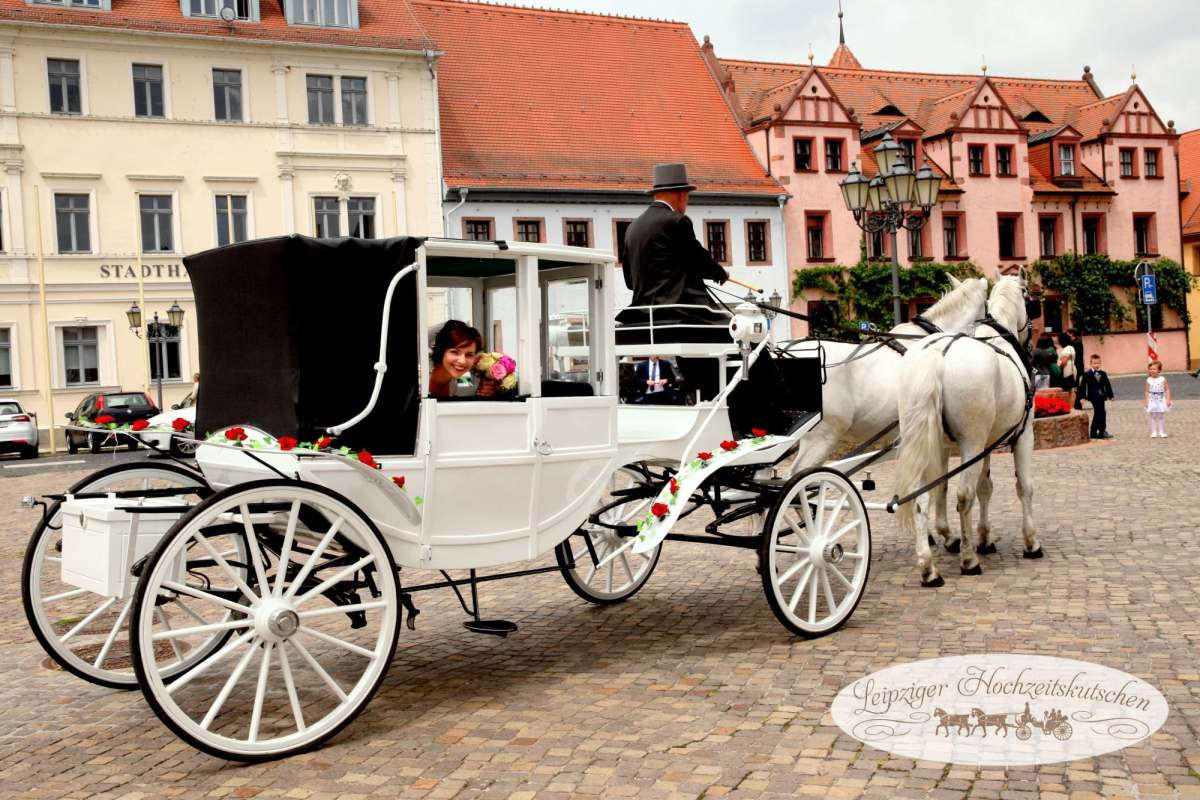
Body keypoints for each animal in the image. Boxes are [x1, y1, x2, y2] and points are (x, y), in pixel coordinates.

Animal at [892, 272, 1041, 585]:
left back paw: (929, 567)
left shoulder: (985, 444)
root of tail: (938, 353)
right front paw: (1031, 542)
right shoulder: (1023, 437)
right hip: (970, 443)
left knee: (922, 497)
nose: (1031, 343)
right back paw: (968, 560)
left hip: (927, 440)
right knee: (963, 496)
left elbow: (985, 487)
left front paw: (983, 538)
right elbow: (1024, 487)